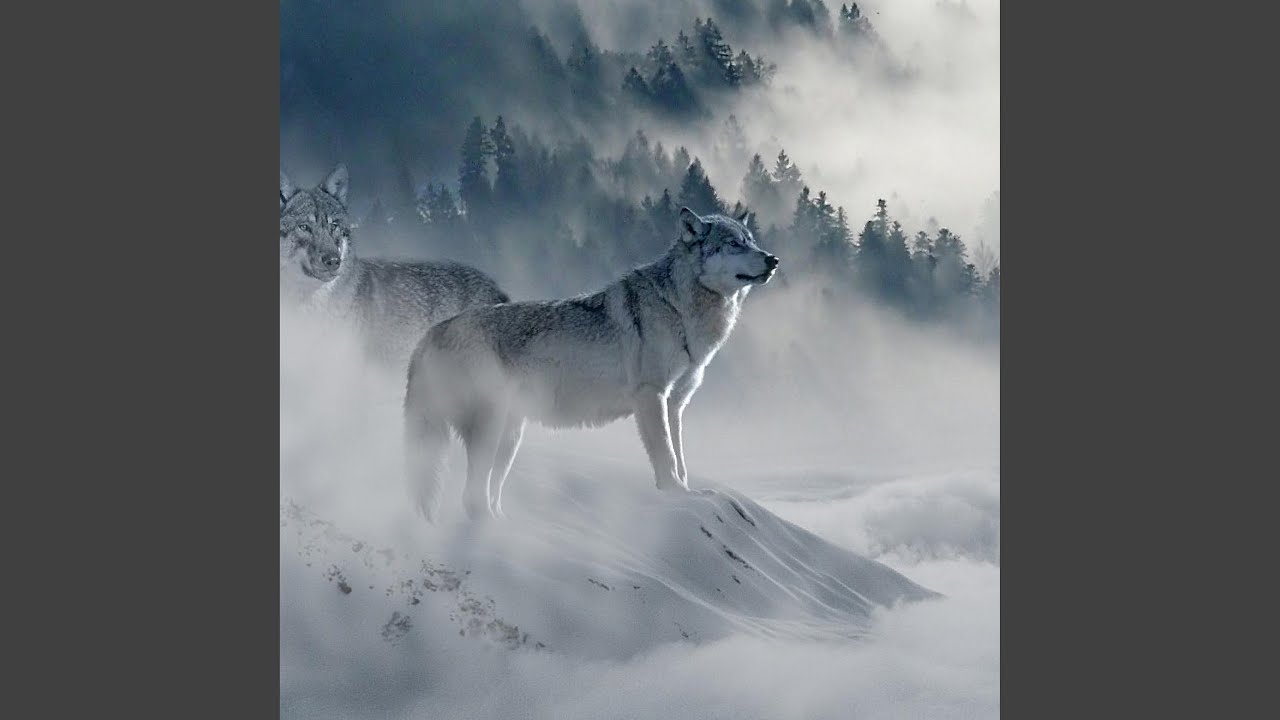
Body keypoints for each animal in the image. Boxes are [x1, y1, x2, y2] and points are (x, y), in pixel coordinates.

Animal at [403, 207, 780, 520]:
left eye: (751, 242)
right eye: (734, 244)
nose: (773, 259)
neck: (679, 308)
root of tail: (431, 333)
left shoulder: (675, 404)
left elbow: (681, 458)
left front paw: (688, 492)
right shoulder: (651, 396)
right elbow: (667, 456)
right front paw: (675, 493)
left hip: (510, 437)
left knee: (487, 494)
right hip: (491, 429)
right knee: (471, 498)